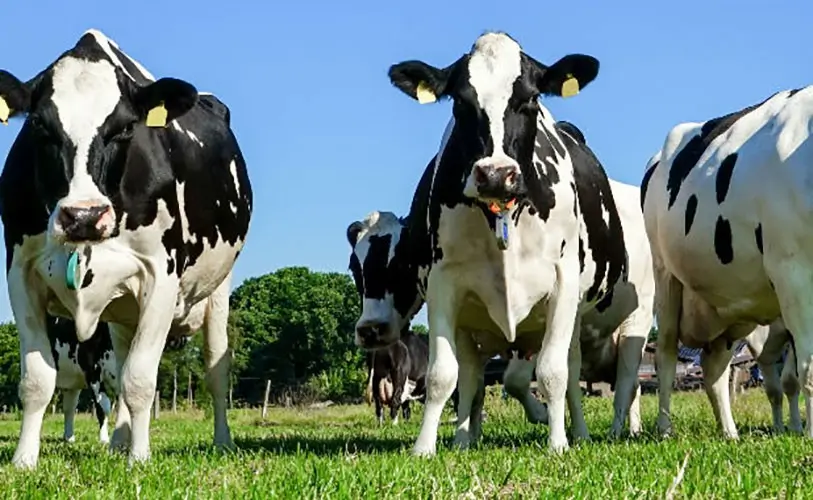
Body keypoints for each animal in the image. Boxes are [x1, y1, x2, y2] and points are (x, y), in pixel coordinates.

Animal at [0, 29, 252, 468]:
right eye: (38, 126)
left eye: (124, 128)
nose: (83, 215)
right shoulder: (20, 273)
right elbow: (37, 380)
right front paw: (24, 461)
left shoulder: (160, 275)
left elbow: (140, 380)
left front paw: (140, 458)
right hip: (121, 312)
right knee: (119, 365)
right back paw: (119, 439)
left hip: (219, 289)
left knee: (216, 370)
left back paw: (221, 441)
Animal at [374, 31, 629, 455]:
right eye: (460, 101)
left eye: (529, 99)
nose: (495, 174)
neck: (502, 216)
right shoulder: (444, 284)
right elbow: (444, 375)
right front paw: (425, 447)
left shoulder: (563, 284)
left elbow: (554, 373)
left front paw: (558, 444)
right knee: (472, 377)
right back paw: (465, 438)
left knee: (571, 367)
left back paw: (578, 432)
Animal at [641, 85, 813, 440]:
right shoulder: (792, 270)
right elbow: (809, 368)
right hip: (665, 275)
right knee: (665, 353)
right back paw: (665, 429)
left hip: (728, 310)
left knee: (714, 369)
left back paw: (730, 433)